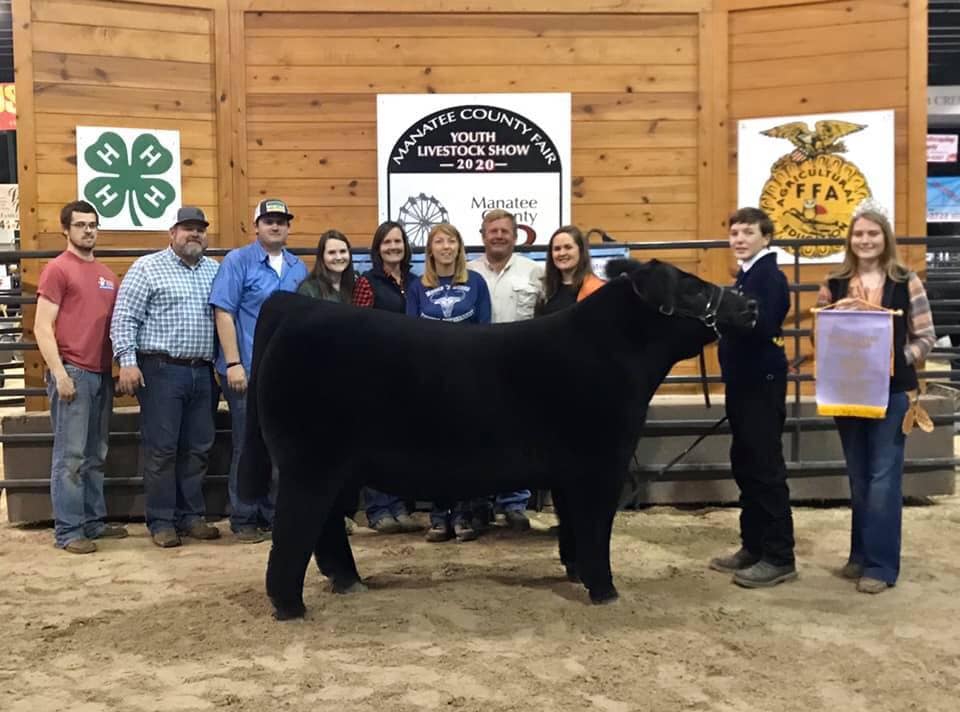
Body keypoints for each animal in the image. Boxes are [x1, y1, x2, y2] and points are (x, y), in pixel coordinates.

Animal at [239, 258, 758, 620]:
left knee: (324, 529)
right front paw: (605, 590)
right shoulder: (600, 463)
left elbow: (574, 527)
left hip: (329, 467)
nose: (749, 305)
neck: (610, 351)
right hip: (310, 463)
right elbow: (595, 528)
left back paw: (348, 582)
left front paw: (576, 572)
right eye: (692, 286)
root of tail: (296, 307)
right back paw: (290, 606)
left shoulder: (570, 471)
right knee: (295, 530)